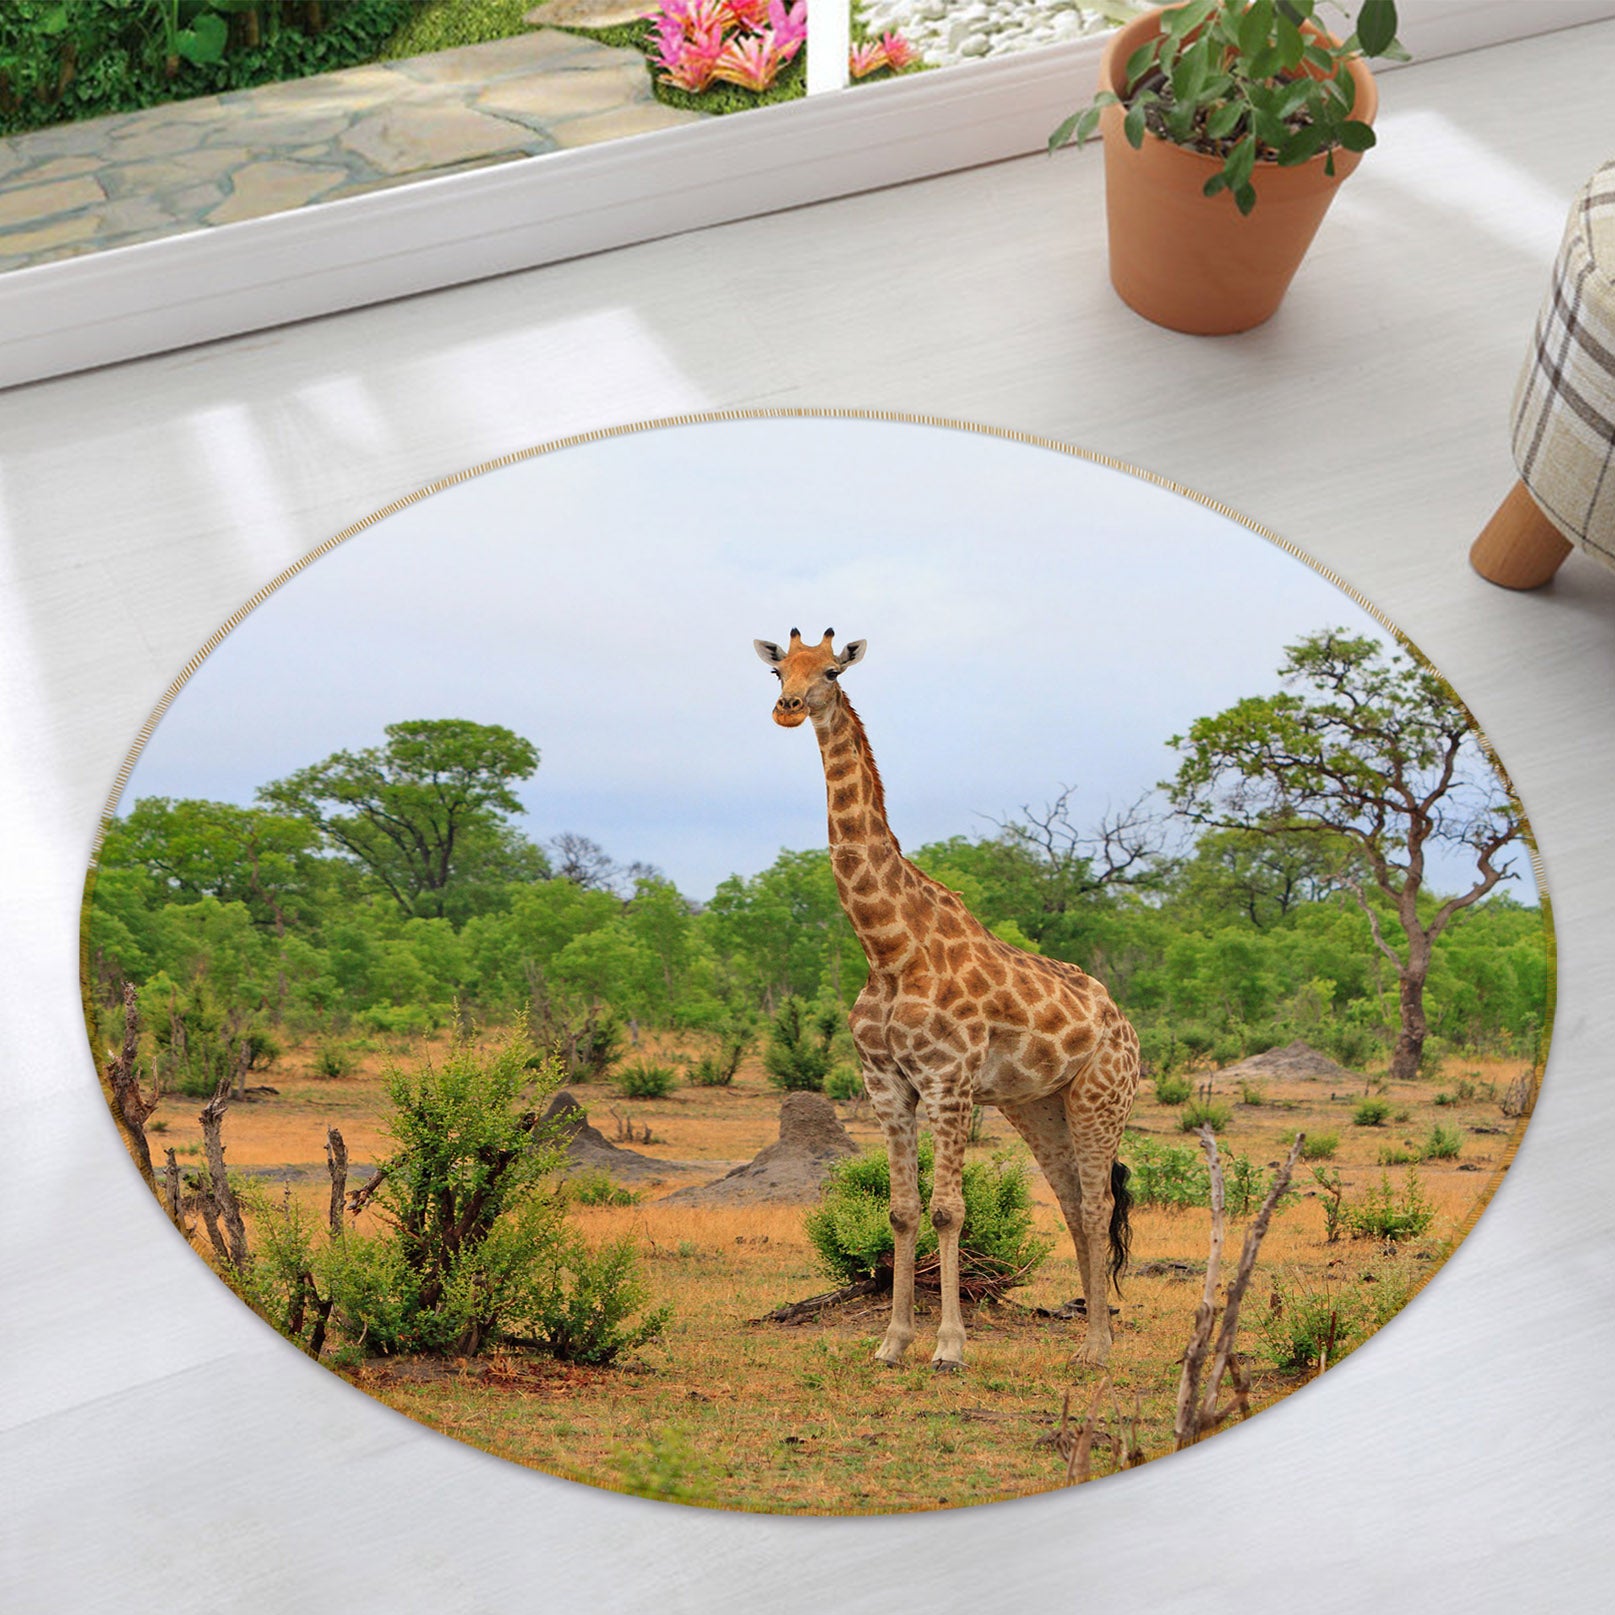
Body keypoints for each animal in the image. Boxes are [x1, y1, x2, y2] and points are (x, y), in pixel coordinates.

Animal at [754, 628, 1141, 1371]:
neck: (887, 946)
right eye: (777, 667)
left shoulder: (948, 1081)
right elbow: (902, 1209)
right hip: (1037, 1105)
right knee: (1072, 1201)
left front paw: (950, 1346)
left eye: (831, 670)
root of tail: (1123, 1022)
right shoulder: (885, 1083)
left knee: (1097, 1203)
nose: (787, 708)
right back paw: (1088, 1333)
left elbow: (948, 1209)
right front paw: (893, 1340)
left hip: (1101, 1096)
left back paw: (1098, 1347)